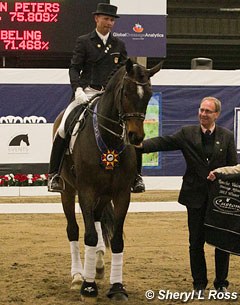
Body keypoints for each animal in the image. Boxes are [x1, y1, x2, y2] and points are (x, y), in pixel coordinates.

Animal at [54, 58, 163, 300]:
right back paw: (78, 276)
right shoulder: (85, 191)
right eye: (125, 92)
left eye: (149, 94)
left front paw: (117, 287)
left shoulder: (121, 194)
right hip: (68, 190)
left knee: (96, 219)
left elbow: (117, 239)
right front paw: (88, 287)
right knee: (73, 229)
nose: (136, 137)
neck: (108, 137)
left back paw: (97, 264)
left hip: (104, 195)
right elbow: (89, 236)